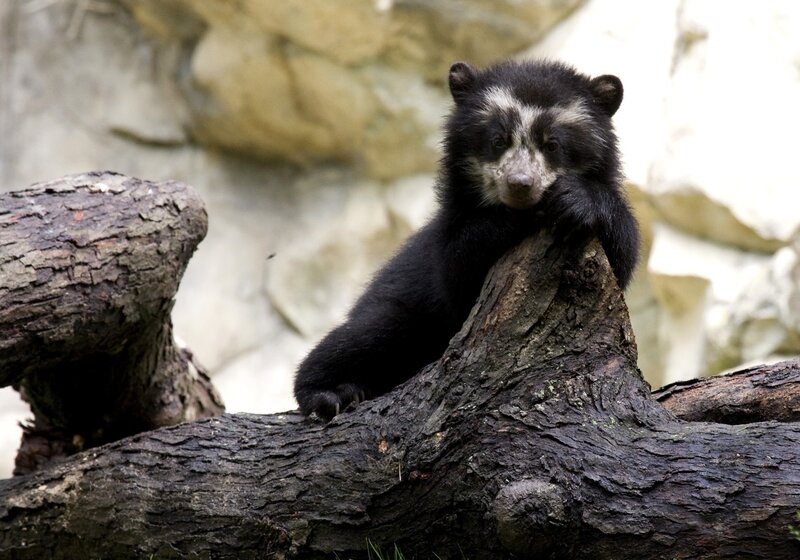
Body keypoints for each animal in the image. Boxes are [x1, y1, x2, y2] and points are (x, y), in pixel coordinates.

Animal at [294, 59, 640, 420]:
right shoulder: (449, 232)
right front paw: (513, 220)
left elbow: (624, 253)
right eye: (498, 140)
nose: (520, 184)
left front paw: (574, 201)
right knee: (366, 333)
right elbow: (459, 270)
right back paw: (330, 395)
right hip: (396, 312)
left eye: (553, 145)